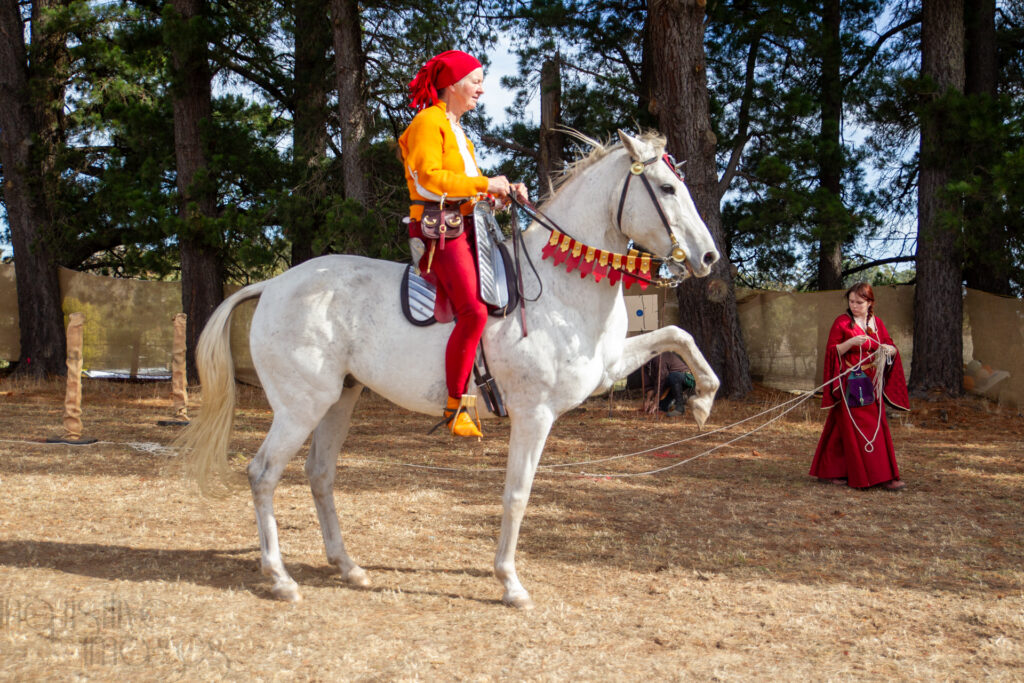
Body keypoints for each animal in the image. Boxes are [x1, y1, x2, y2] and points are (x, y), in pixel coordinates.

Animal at [177, 130, 721, 609]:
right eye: (667, 188)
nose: (709, 256)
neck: (558, 287)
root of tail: (272, 285)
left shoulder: (608, 369)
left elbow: (678, 335)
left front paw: (702, 400)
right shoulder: (535, 415)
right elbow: (517, 494)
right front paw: (510, 583)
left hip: (339, 400)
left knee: (319, 474)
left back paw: (348, 567)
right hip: (299, 407)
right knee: (263, 474)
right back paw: (280, 577)